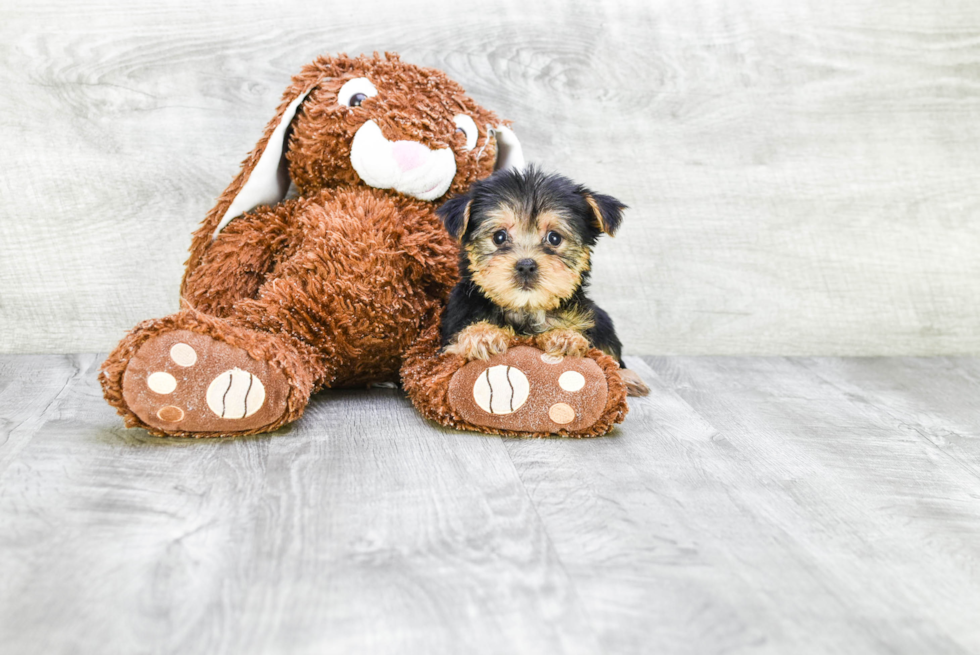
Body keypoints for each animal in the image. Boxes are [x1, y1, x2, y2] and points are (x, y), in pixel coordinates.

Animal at [436, 167, 652, 398]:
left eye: (554, 238)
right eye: (499, 237)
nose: (526, 265)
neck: (525, 309)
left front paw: (564, 337)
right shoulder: (451, 333)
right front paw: (482, 335)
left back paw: (627, 378)